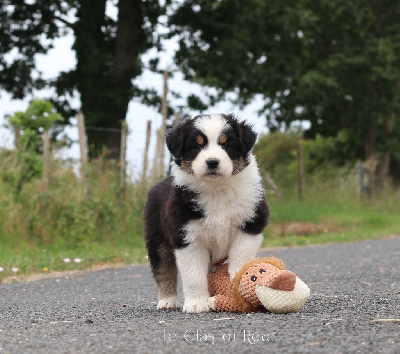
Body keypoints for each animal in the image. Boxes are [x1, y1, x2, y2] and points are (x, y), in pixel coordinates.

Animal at [144, 113, 268, 312]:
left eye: (226, 145)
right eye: (196, 146)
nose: (212, 162)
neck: (216, 190)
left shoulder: (249, 227)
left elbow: (240, 261)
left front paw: (238, 289)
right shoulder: (187, 237)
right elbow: (194, 276)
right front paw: (196, 304)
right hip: (158, 238)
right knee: (164, 269)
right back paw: (167, 301)